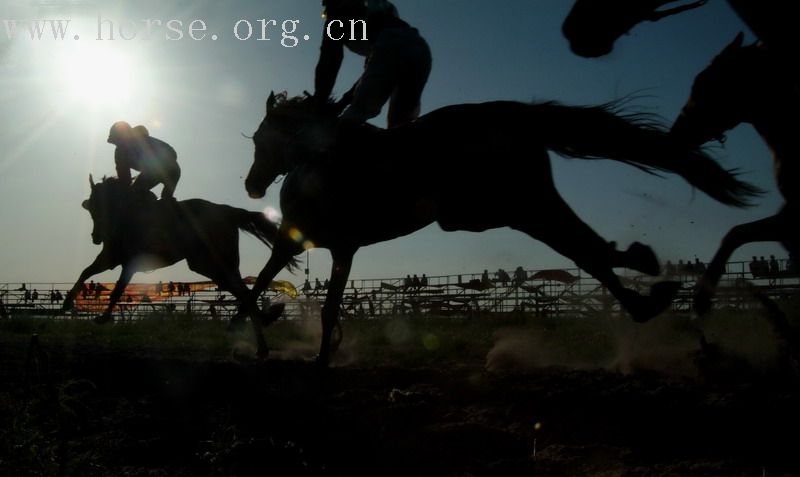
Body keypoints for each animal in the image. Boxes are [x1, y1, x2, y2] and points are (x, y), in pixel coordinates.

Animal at [62, 175, 290, 354]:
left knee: (242, 291)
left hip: (215, 262)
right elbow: (86, 272)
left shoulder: (130, 263)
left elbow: (118, 288)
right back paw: (264, 330)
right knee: (241, 290)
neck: (128, 217)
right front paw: (67, 303)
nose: (96, 237)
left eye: (106, 204)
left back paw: (262, 337)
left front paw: (103, 317)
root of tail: (227, 211)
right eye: (92, 207)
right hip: (208, 264)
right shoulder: (110, 258)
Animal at [244, 91, 756, 364]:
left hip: (501, 206)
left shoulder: (340, 247)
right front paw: (269, 338)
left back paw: (643, 278)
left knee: (580, 246)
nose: (251, 184)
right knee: (583, 246)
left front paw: (311, 355)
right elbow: (264, 288)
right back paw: (645, 288)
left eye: (260, 139)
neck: (318, 162)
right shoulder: (308, 246)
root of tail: (510, 112)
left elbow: (311, 302)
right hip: (512, 204)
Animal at [672, 34, 796, 316]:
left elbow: (735, 233)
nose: (676, 131)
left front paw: (702, 297)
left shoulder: (791, 220)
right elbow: (736, 233)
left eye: (703, 83)